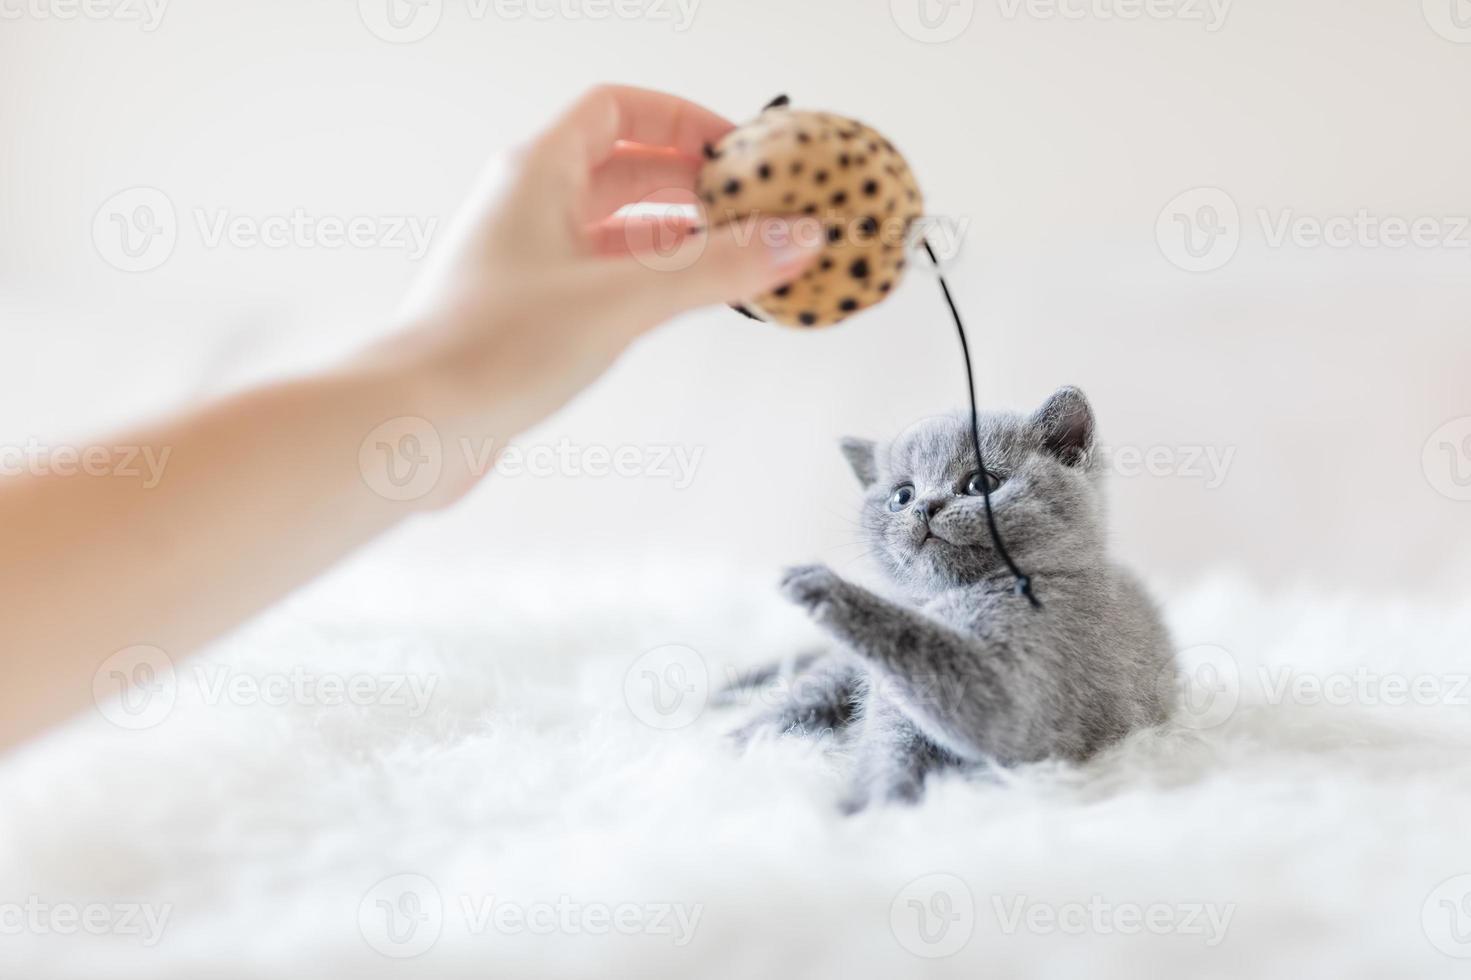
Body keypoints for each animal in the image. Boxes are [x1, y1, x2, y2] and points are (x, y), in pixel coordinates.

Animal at [729, 388, 1176, 806]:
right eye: (902, 496)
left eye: (981, 484)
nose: (925, 507)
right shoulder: (890, 706)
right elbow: (888, 740)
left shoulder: (1025, 681)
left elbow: (937, 665)